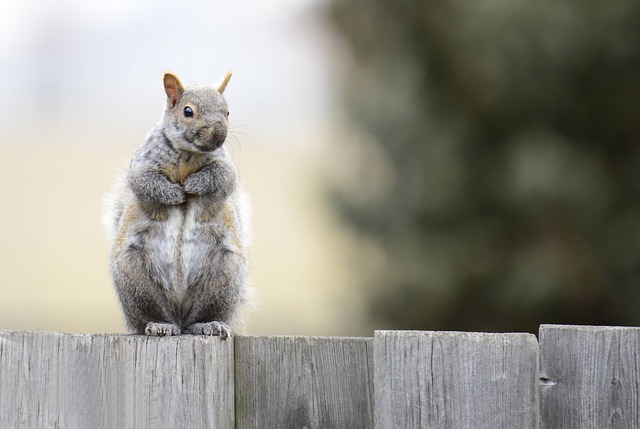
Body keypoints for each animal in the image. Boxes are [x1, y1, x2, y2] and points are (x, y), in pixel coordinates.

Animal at [104, 71, 250, 339]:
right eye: (188, 111)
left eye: (227, 112)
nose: (219, 135)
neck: (188, 156)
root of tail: (179, 313)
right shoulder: (142, 164)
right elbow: (143, 181)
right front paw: (174, 193)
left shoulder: (225, 167)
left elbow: (223, 177)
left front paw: (194, 184)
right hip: (135, 280)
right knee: (149, 316)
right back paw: (159, 325)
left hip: (224, 277)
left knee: (199, 316)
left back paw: (208, 325)